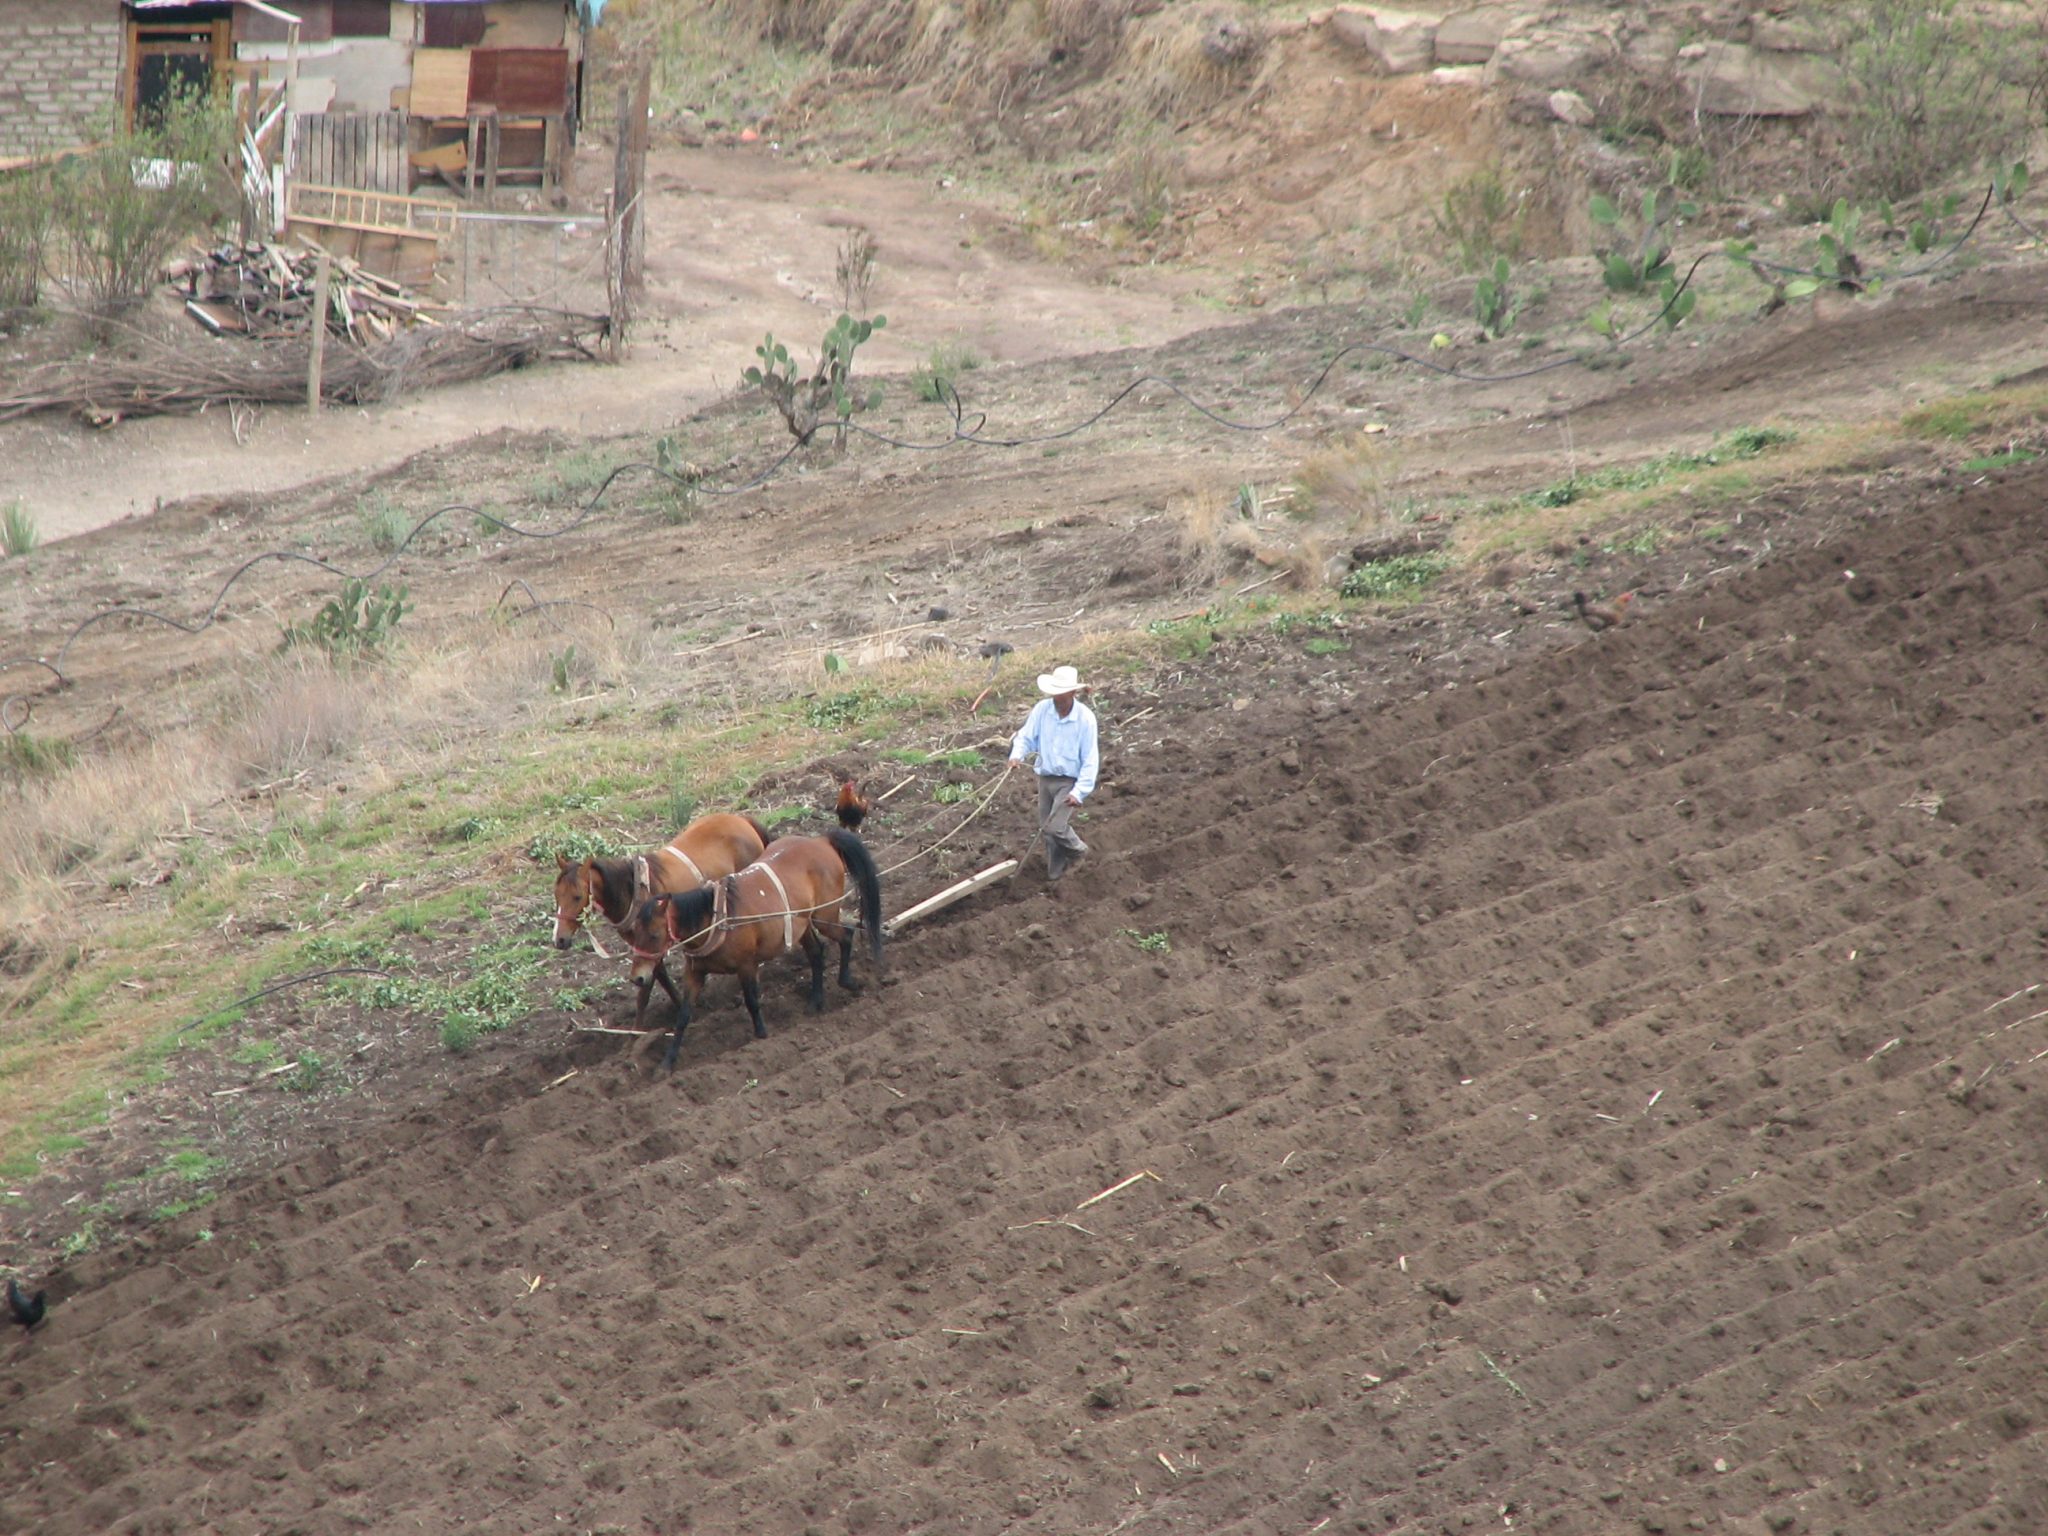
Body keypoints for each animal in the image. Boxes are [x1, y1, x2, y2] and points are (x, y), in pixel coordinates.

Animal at [552, 811, 770, 1028]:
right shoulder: (644, 946)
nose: (559, 940)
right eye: (556, 895)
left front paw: (637, 1031)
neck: (632, 892)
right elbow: (660, 977)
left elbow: (644, 990)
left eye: (577, 896)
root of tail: (742, 820)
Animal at [622, 831, 880, 1073]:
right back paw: (815, 1001)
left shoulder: (747, 965)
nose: (638, 977)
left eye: (654, 935)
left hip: (824, 915)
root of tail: (821, 841)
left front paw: (761, 1036)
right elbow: (683, 1015)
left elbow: (752, 1001)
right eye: (633, 932)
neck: (715, 921)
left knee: (846, 936)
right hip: (802, 923)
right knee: (816, 952)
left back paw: (848, 981)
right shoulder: (694, 973)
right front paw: (667, 1063)